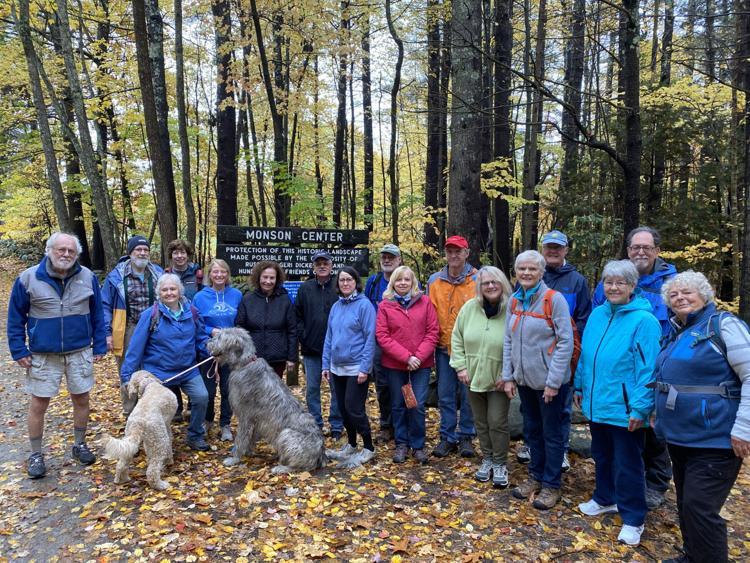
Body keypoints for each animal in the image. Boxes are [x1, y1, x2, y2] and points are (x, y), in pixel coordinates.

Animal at [207, 328, 328, 474]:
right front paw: (248, 452)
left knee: (301, 467)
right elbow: (250, 438)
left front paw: (234, 458)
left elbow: (241, 438)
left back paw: (281, 467)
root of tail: (321, 453)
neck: (245, 363)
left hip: (287, 435)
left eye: (220, 337)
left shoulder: (245, 416)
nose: (208, 342)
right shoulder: (255, 420)